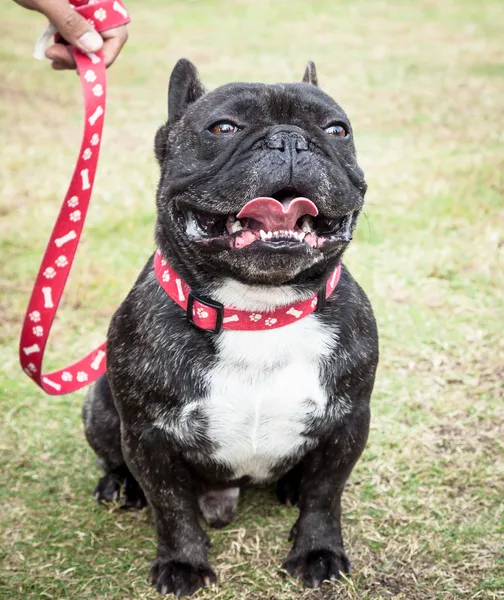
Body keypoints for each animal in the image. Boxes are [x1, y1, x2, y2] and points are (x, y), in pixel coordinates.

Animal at [82, 59, 378, 596]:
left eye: (336, 131)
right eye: (223, 129)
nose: (289, 140)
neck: (258, 309)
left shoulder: (348, 422)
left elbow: (325, 494)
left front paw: (318, 552)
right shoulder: (149, 438)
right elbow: (172, 508)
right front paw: (182, 563)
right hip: (99, 401)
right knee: (115, 457)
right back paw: (121, 485)